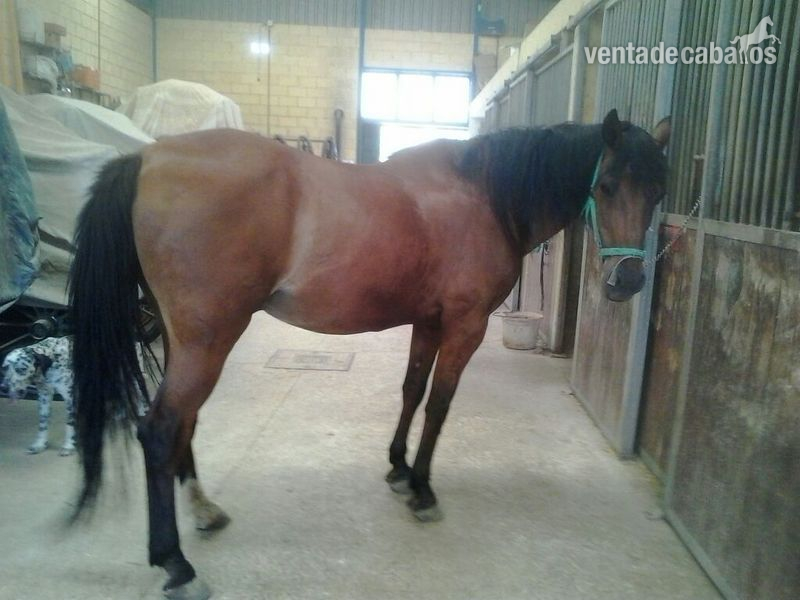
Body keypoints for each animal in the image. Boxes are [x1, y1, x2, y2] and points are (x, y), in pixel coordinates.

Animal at [68, 108, 670, 599]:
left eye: (658, 192)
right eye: (608, 185)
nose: (628, 280)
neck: (482, 195)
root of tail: (147, 156)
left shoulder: (429, 321)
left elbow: (412, 391)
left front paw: (398, 469)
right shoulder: (465, 326)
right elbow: (440, 405)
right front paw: (423, 491)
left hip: (184, 339)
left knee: (183, 425)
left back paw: (203, 510)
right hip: (209, 339)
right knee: (161, 429)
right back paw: (176, 565)